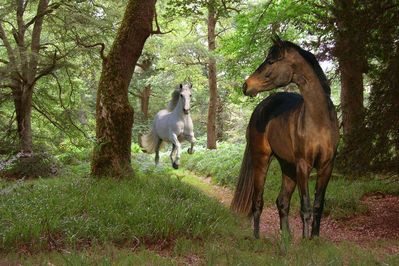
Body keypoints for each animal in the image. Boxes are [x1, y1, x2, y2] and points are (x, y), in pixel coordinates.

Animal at [231, 37, 340, 239]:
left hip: (288, 166)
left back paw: (286, 238)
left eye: (271, 61)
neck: (319, 120)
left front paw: (314, 239)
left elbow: (318, 205)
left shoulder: (326, 166)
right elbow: (305, 208)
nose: (246, 85)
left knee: (282, 201)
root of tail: (261, 107)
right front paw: (305, 241)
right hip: (262, 160)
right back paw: (257, 237)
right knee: (257, 201)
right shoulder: (303, 165)